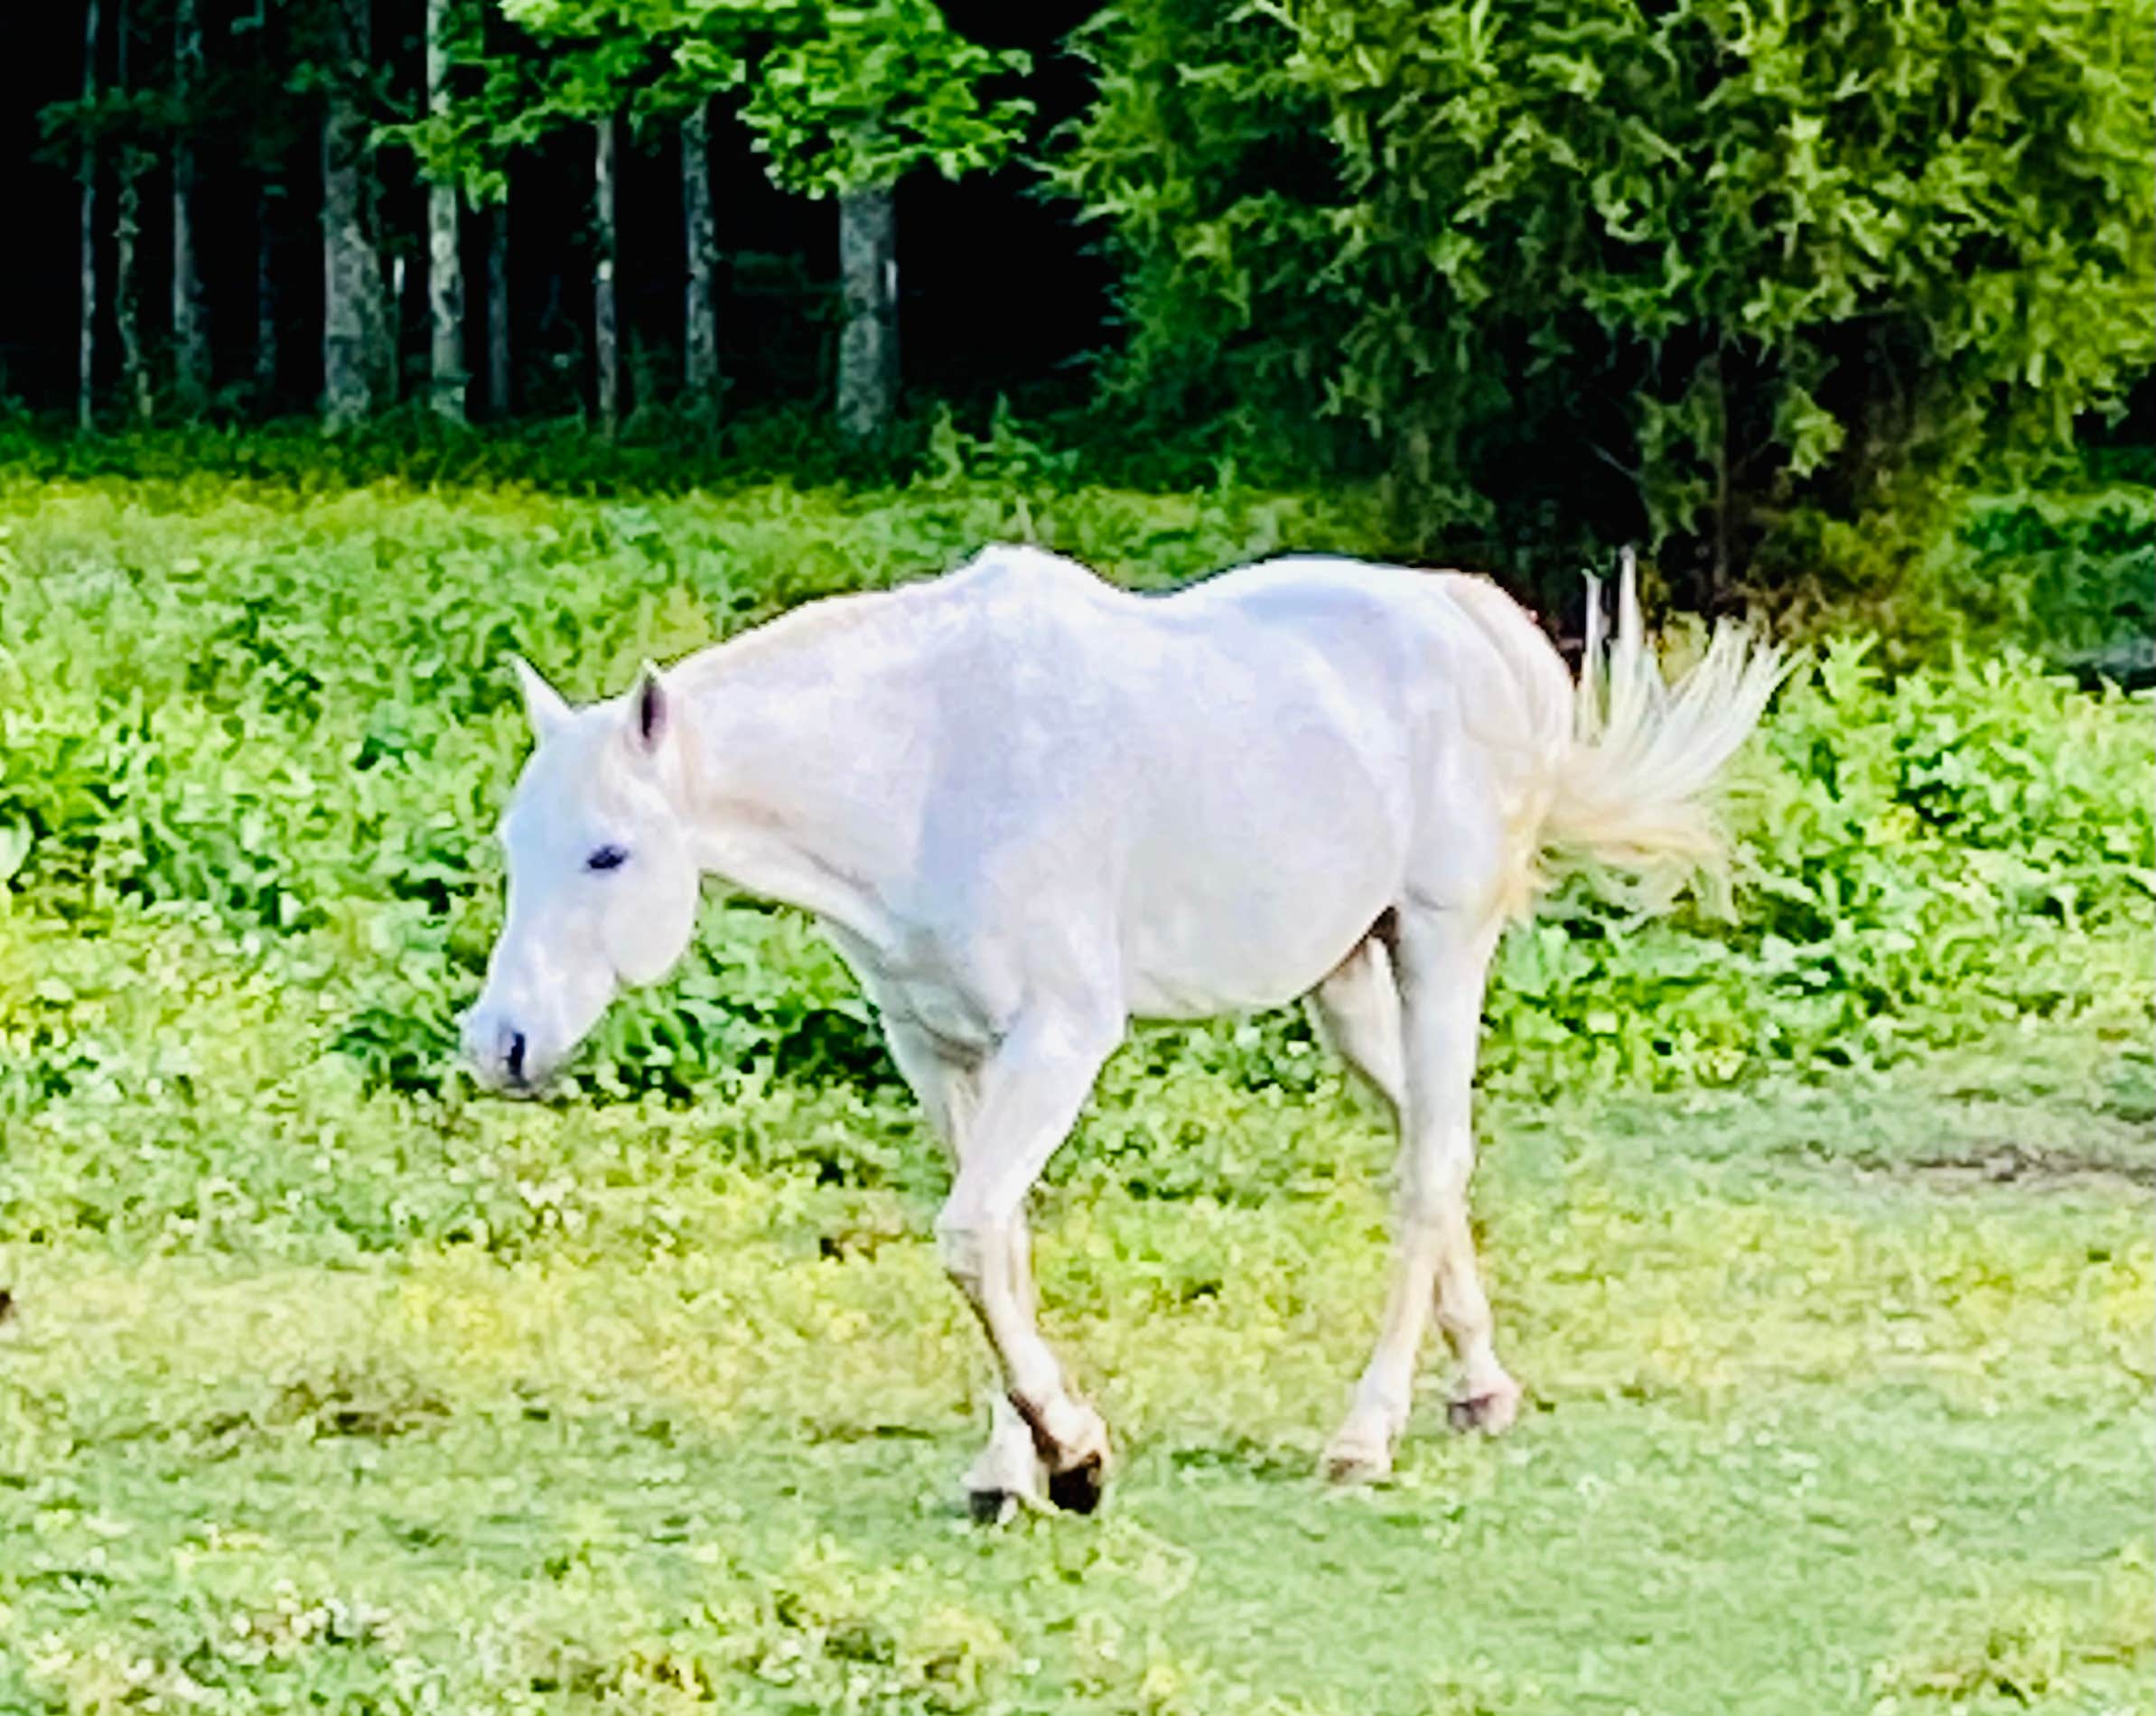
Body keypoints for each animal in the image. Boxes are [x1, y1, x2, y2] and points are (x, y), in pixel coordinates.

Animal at [461, 544, 1783, 1518]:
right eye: (516, 843)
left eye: (608, 853)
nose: (500, 1044)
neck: (927, 768)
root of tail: (1475, 623)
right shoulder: (940, 1052)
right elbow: (993, 1244)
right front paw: (1011, 1470)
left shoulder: (1057, 1039)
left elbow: (970, 1235)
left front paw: (1075, 1456)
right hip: (1348, 981)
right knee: (1427, 1140)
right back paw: (1480, 1387)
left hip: (1440, 946)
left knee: (1427, 1167)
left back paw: (1364, 1434)